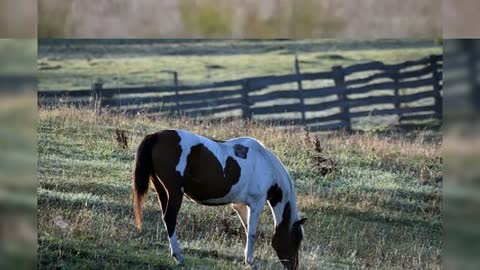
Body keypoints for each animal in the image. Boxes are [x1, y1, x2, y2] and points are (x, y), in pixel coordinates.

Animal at [133, 130, 306, 268]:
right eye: (296, 240)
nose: (294, 266)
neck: (265, 165)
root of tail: (155, 136)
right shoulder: (256, 204)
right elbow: (252, 233)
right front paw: (251, 262)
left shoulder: (241, 205)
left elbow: (246, 229)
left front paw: (247, 259)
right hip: (175, 192)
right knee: (170, 218)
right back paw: (178, 257)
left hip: (162, 190)